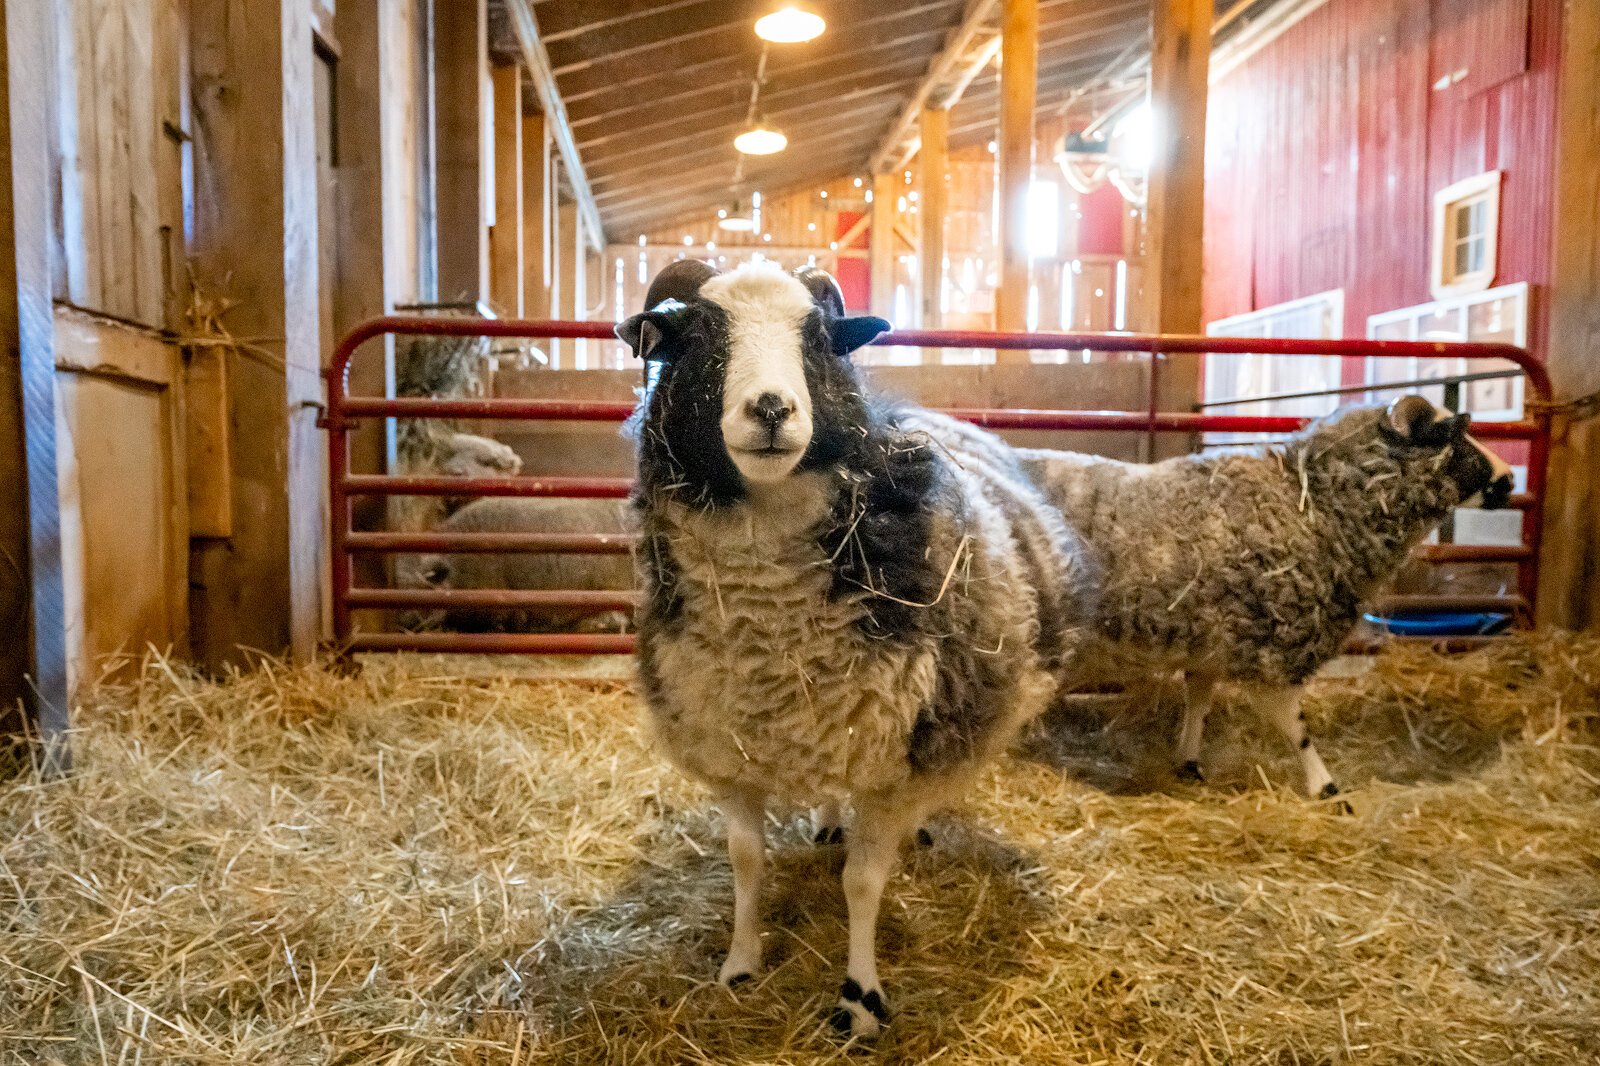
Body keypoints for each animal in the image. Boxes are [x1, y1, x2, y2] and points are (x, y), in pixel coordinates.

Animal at [617, 260, 1094, 1030]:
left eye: (818, 339)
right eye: (695, 340)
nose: (772, 409)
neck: (774, 643)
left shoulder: (894, 761)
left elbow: (863, 882)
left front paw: (860, 999)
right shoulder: (729, 749)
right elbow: (746, 861)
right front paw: (739, 965)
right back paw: (827, 822)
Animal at [1011, 393, 1510, 800]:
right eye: (1453, 433)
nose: (1508, 480)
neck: (1309, 503)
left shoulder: (1213, 641)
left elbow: (1199, 701)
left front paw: (1189, 763)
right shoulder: (1276, 646)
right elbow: (1296, 728)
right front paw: (1326, 788)